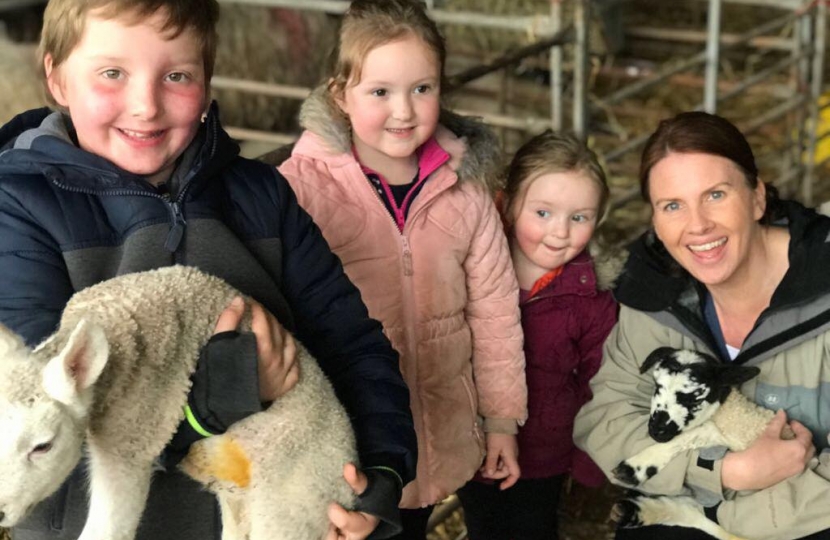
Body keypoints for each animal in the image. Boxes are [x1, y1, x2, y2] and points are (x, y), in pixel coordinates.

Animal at [612, 346, 800, 540]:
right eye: (657, 386)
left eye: (695, 398)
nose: (657, 430)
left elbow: (693, 435)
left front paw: (633, 468)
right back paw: (629, 512)